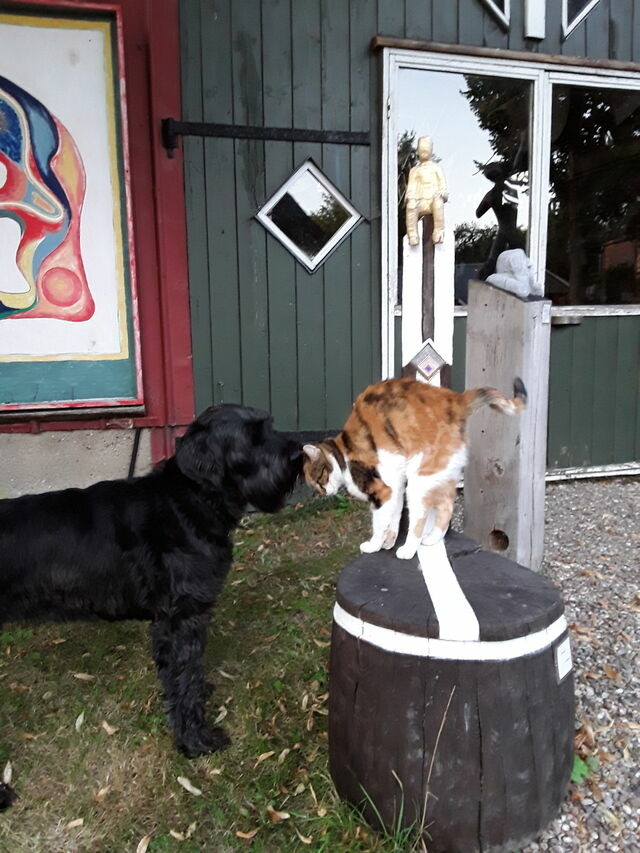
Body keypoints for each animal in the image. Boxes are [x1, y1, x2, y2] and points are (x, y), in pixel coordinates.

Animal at [0, 402, 302, 808]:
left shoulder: (166, 622)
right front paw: (195, 740)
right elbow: (185, 675)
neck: (190, 500)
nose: (298, 454)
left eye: (268, 425)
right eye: (251, 437)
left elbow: (176, 674)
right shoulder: (184, 617)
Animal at [302, 378, 528, 560]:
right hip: (440, 474)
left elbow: (379, 523)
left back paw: (408, 549)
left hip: (419, 481)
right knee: (447, 505)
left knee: (420, 519)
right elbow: (393, 517)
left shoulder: (382, 490)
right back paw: (432, 538)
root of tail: (457, 400)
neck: (343, 453)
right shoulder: (395, 486)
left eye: (318, 480)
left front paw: (374, 545)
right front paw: (389, 541)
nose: (323, 493)